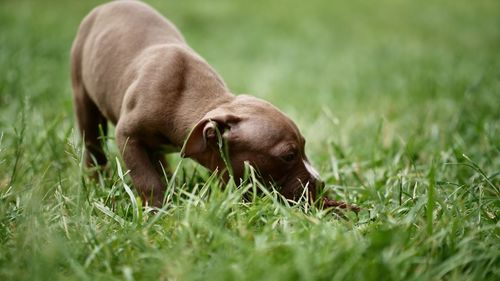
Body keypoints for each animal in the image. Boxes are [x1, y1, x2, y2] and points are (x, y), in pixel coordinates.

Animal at [70, 0, 322, 206]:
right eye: (288, 156)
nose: (321, 184)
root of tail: (106, 6)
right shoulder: (128, 137)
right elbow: (147, 179)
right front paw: (158, 211)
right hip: (83, 95)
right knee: (93, 144)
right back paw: (97, 181)